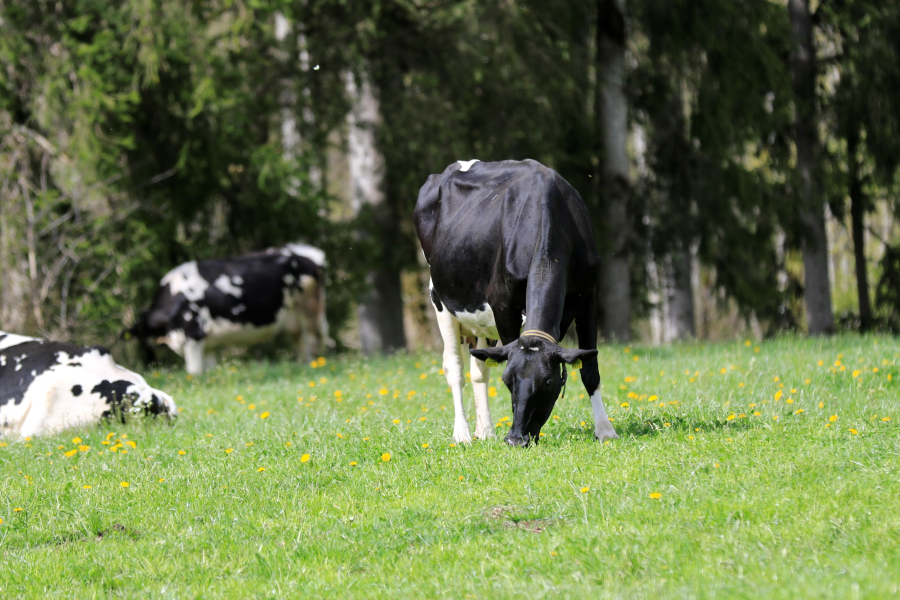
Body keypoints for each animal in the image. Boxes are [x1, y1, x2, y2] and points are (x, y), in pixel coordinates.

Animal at [128, 243, 328, 375]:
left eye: (144, 339)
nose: (149, 363)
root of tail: (307, 253)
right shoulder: (207, 344)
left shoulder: (193, 336)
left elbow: (194, 373)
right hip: (296, 320)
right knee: (301, 343)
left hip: (308, 312)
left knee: (311, 342)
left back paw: (312, 366)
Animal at [415, 159, 617, 447]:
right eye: (508, 381)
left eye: (547, 382)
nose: (516, 439)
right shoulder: (502, 304)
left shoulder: (588, 296)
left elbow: (590, 370)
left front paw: (605, 431)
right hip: (439, 300)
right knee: (454, 367)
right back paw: (463, 433)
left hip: (481, 325)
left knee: (479, 369)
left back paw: (485, 431)